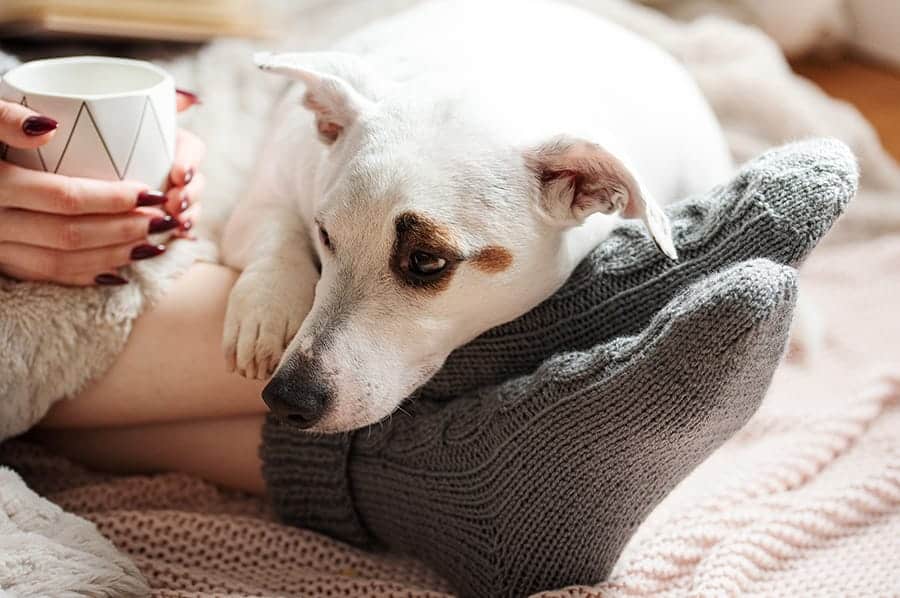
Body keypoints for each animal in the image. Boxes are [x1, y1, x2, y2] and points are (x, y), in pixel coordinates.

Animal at [221, 0, 736, 432]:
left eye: (427, 261)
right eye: (325, 235)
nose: (288, 399)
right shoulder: (264, 195)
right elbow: (274, 232)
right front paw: (266, 309)